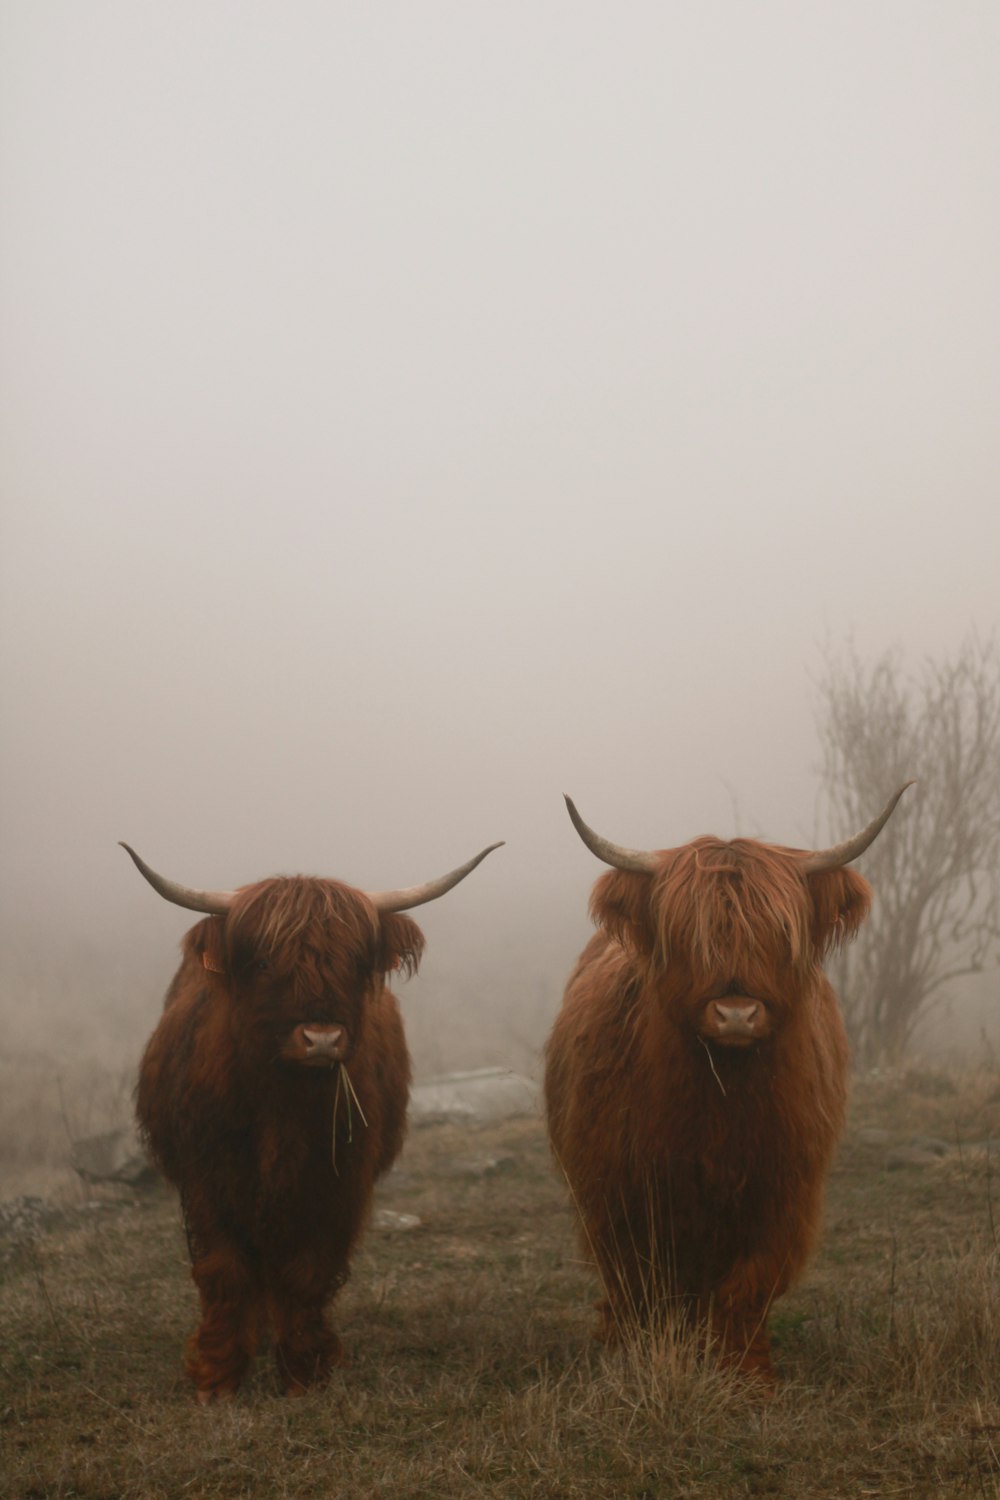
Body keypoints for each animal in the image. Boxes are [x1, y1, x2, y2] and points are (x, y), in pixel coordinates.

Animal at [125, 840, 500, 1398]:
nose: (321, 1038)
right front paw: (217, 1376)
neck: (283, 1106)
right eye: (264, 961)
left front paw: (305, 1371)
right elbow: (224, 1271)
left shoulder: (336, 1182)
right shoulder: (208, 1180)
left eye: (354, 961)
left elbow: (307, 1270)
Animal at [548, 786, 917, 1380]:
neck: (722, 1102)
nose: (737, 1014)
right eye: (686, 936)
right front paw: (638, 1358)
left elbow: (747, 1288)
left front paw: (747, 1376)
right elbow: (641, 1284)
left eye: (780, 934)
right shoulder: (618, 1192)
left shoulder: (783, 1193)